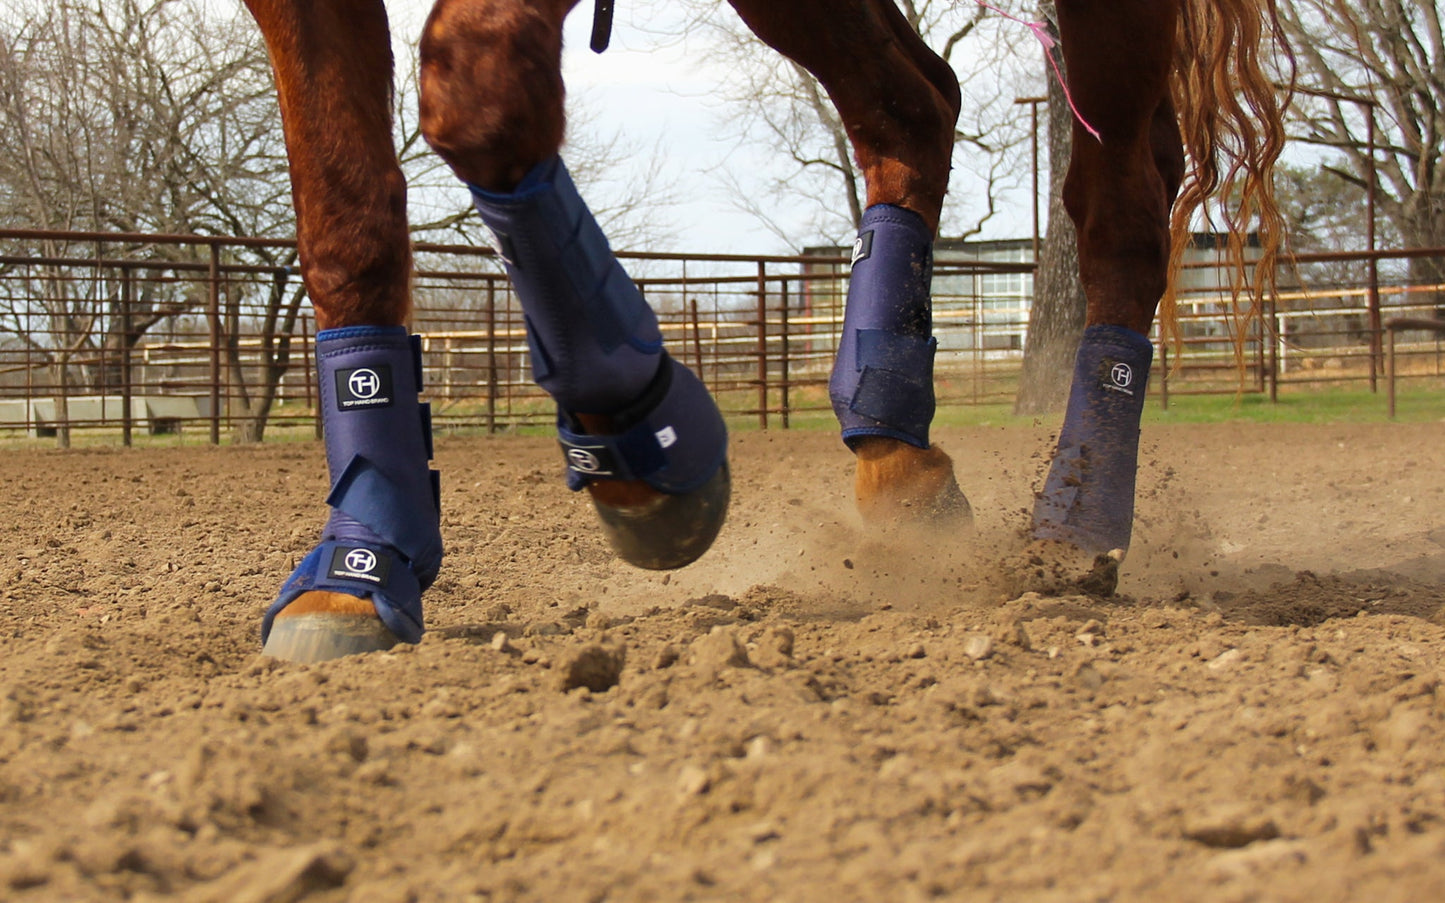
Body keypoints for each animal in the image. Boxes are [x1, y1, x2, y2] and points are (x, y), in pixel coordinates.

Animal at [242, 0, 1294, 661]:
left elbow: (480, 78)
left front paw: (640, 429)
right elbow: (345, 218)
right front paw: (360, 565)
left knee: (1121, 211)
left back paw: (1075, 523)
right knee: (913, 103)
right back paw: (896, 455)